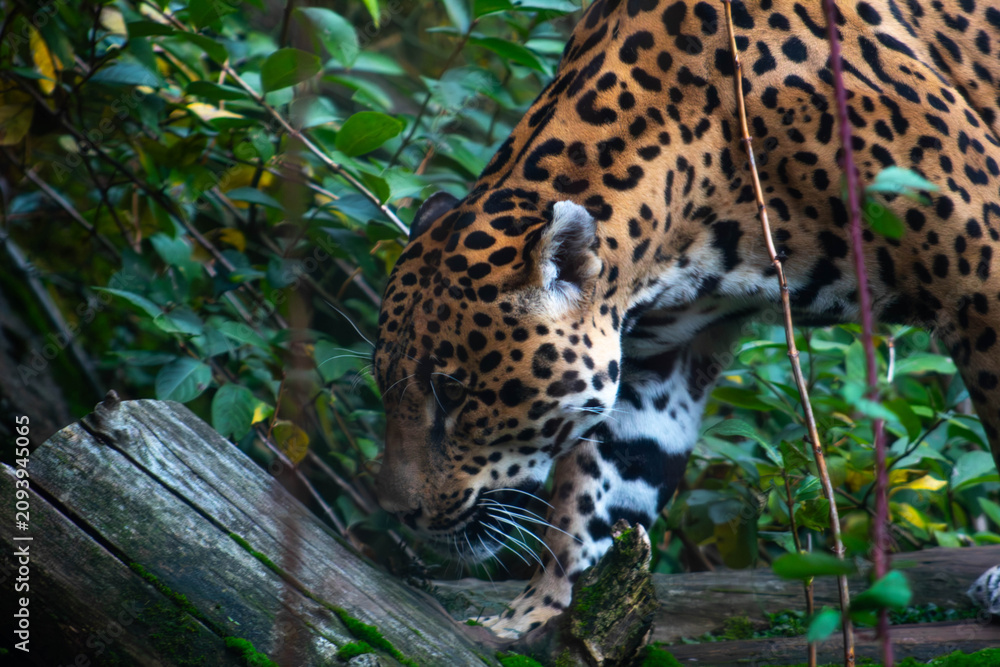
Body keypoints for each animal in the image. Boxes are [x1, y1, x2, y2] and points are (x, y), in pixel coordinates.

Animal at [372, 0, 1000, 639]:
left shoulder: (983, 272)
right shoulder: (657, 366)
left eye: (454, 394)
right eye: (383, 384)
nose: (398, 513)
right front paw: (535, 618)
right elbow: (598, 499)